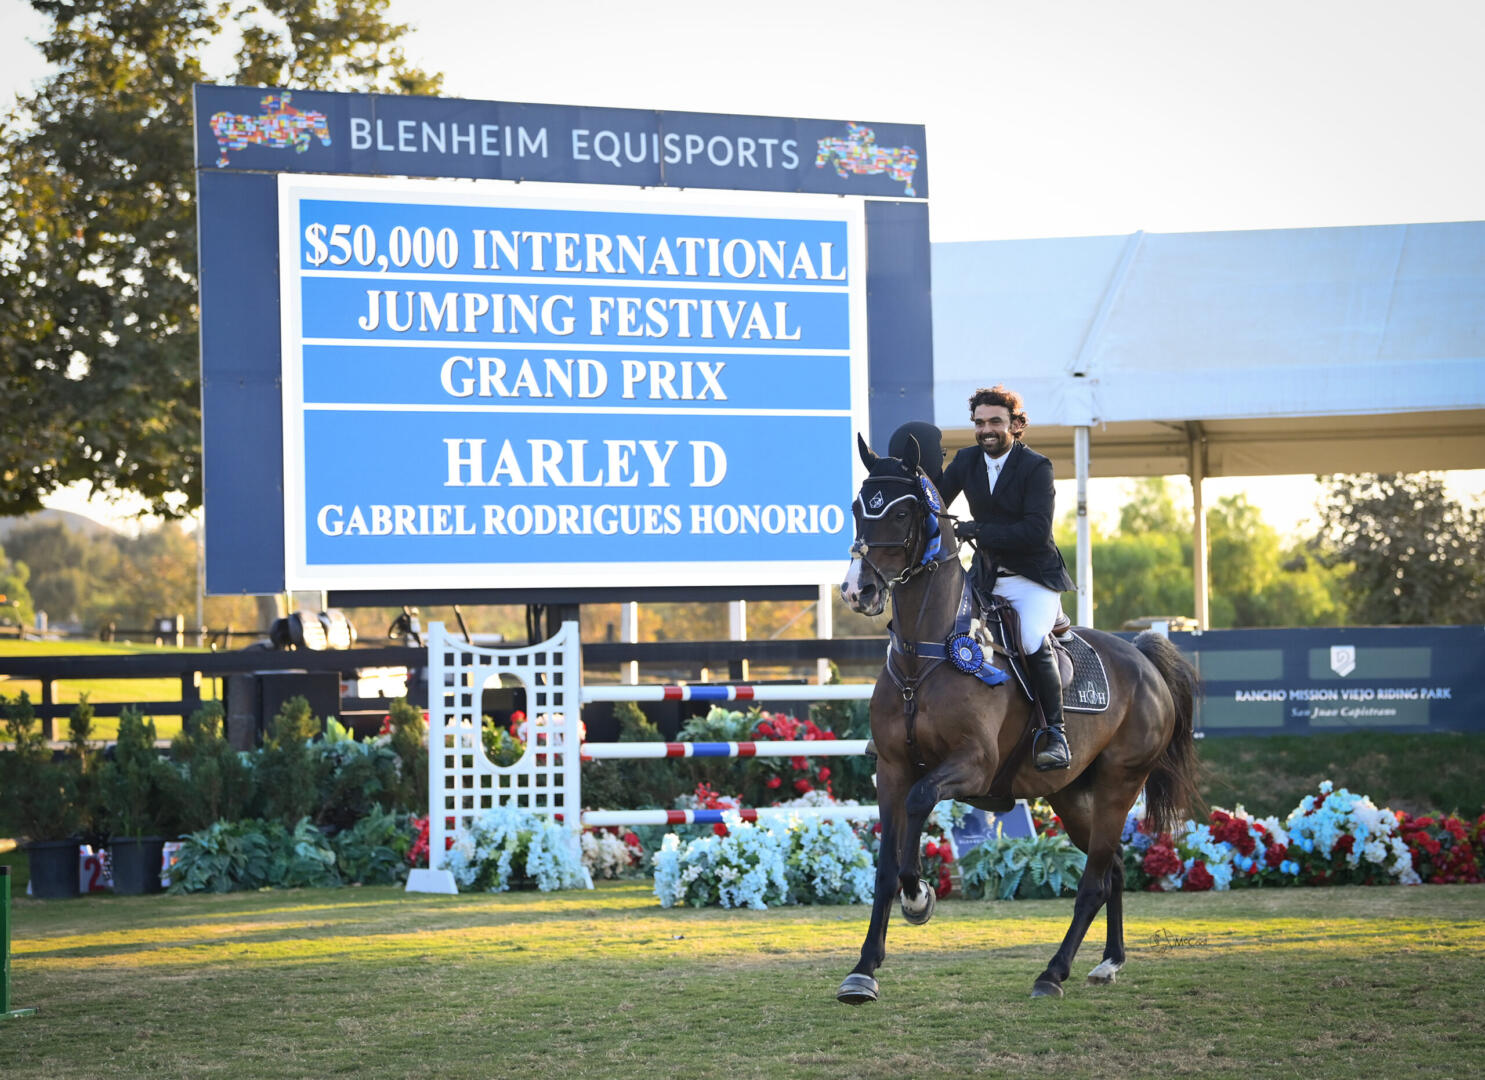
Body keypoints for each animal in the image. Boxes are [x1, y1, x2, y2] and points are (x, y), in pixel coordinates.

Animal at [843, 433, 1199, 1004]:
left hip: (1120, 783)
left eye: (901, 513)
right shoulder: (892, 768)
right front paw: (863, 971)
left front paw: (919, 897)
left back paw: (1053, 973)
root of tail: (1143, 659)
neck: (926, 653)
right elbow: (884, 866)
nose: (859, 591)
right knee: (1114, 868)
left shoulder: (972, 764)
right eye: (859, 509)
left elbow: (920, 806)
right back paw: (1108, 962)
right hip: (1072, 796)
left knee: (1094, 881)